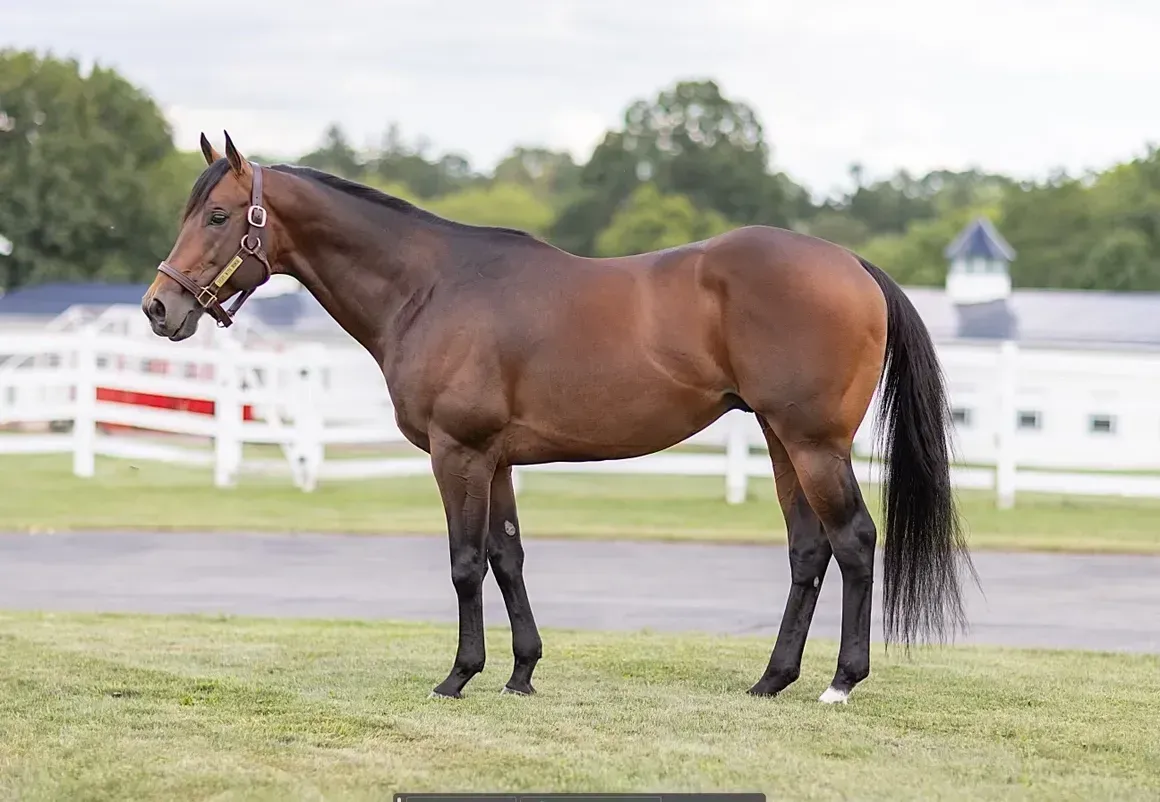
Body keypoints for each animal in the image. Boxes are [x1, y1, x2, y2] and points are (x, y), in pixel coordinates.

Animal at [142, 131, 975, 704]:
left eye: (219, 214)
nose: (159, 307)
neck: (431, 286)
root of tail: (852, 264)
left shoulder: (458, 453)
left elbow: (465, 562)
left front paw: (459, 676)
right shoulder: (497, 460)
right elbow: (507, 557)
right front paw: (521, 673)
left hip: (813, 443)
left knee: (855, 542)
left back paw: (841, 682)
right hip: (781, 443)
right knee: (809, 551)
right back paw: (772, 680)